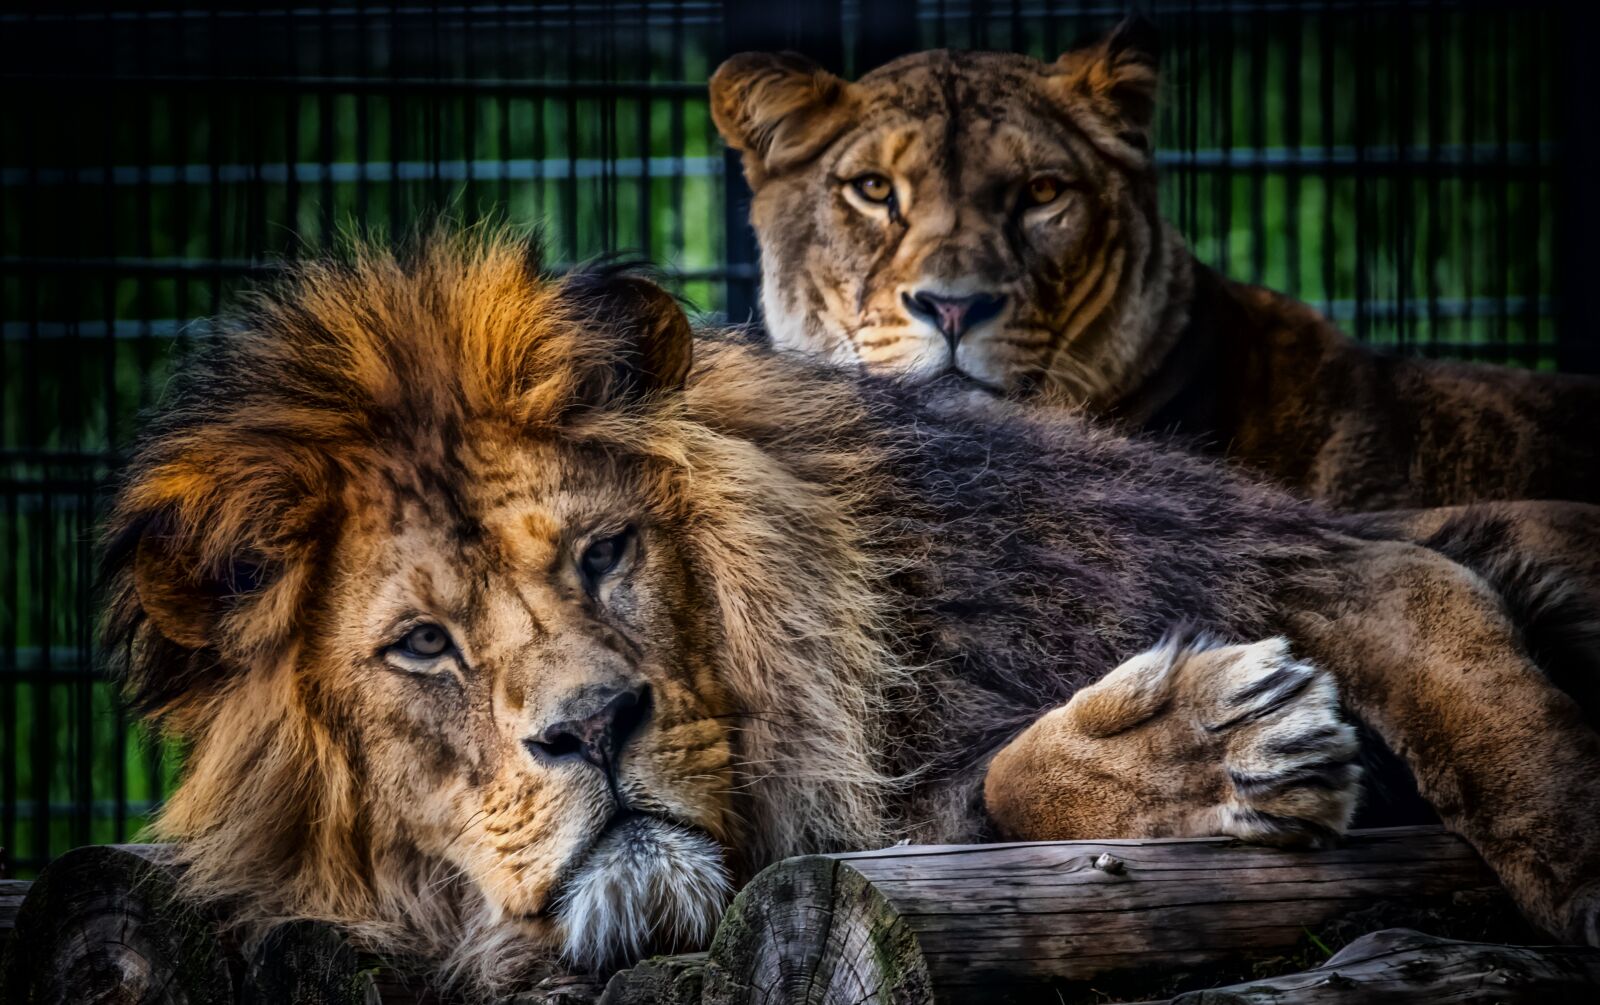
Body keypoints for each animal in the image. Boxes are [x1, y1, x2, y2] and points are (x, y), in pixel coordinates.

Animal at [102, 233, 1600, 991]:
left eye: (602, 554)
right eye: (423, 644)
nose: (592, 727)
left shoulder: (1320, 549)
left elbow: (1440, 615)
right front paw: (1208, 751)